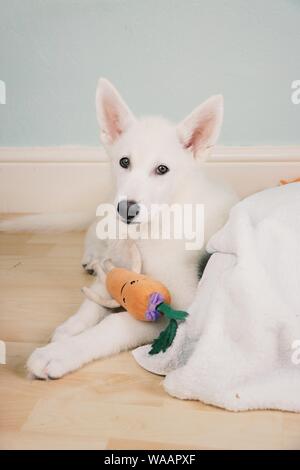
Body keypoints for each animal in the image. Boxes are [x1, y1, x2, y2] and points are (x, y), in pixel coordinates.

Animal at [27, 79, 238, 380]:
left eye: (162, 169)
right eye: (124, 162)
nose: (126, 209)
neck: (146, 233)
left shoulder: (178, 308)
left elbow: (116, 325)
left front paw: (59, 353)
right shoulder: (115, 267)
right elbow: (93, 301)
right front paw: (70, 328)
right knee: (94, 232)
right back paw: (91, 257)